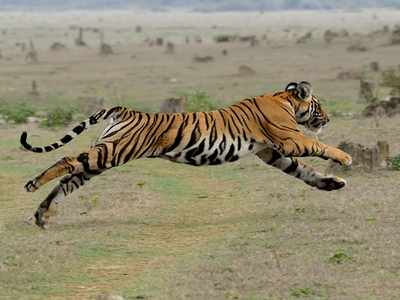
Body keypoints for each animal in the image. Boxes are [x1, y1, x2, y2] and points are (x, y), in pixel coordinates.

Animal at [21, 81, 354, 229]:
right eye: (319, 105)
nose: (327, 118)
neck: (284, 99)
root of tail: (125, 110)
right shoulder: (288, 141)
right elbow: (319, 147)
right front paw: (345, 159)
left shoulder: (272, 153)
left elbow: (303, 171)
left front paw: (332, 184)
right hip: (112, 152)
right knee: (66, 162)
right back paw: (32, 185)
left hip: (102, 159)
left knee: (68, 181)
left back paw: (41, 215)